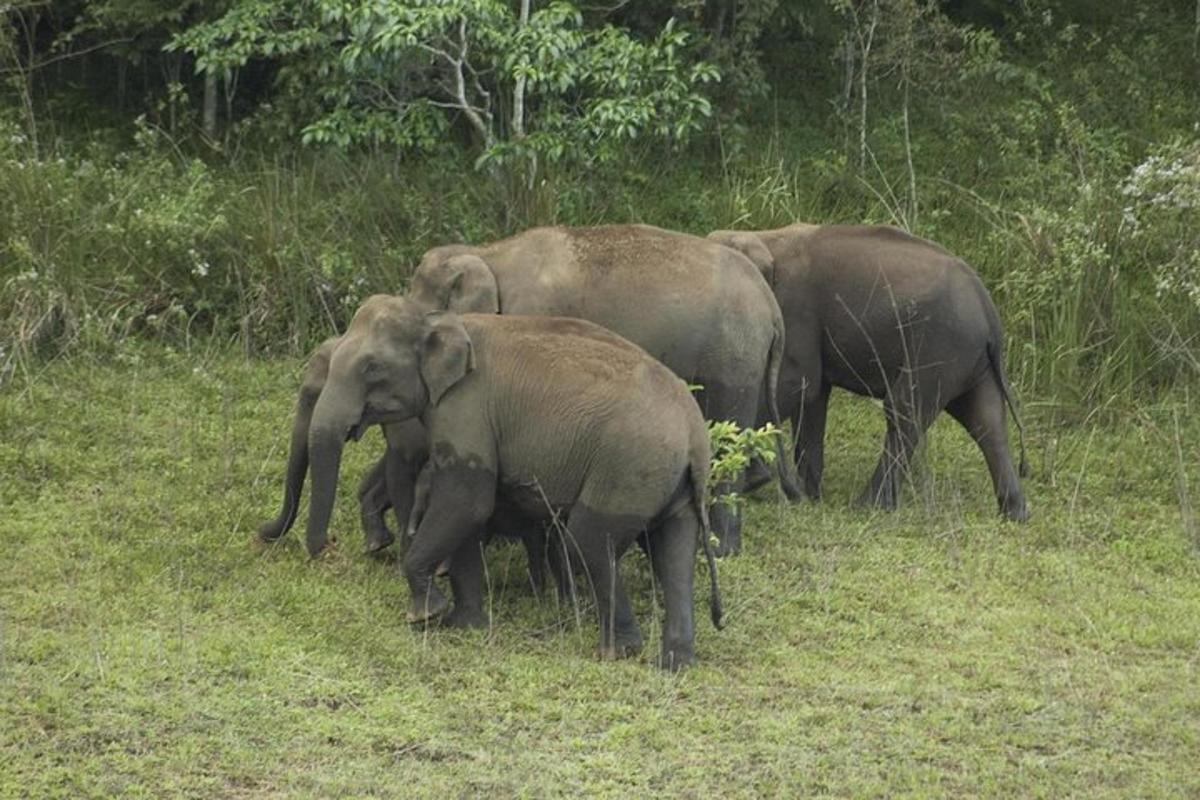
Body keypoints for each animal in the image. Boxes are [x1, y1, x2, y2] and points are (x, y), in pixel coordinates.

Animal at [307, 296, 720, 671]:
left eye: (371, 367)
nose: (327, 546)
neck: (438, 317)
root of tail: (694, 435)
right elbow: (470, 513)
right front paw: (465, 626)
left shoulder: (466, 408)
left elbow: (466, 502)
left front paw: (426, 615)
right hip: (672, 483)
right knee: (674, 551)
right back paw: (675, 663)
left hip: (627, 469)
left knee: (588, 541)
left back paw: (617, 651)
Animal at [408, 221, 801, 554]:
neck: (488, 254)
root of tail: (770, 304)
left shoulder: (533, 311)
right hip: (744, 355)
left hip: (733, 354)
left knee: (728, 426)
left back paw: (721, 549)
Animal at [700, 221, 1032, 522]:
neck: (763, 237)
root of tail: (990, 314)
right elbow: (814, 395)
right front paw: (808, 494)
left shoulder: (796, 311)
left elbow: (799, 382)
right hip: (967, 358)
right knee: (986, 421)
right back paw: (1014, 513)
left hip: (941, 345)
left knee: (904, 411)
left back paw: (869, 505)